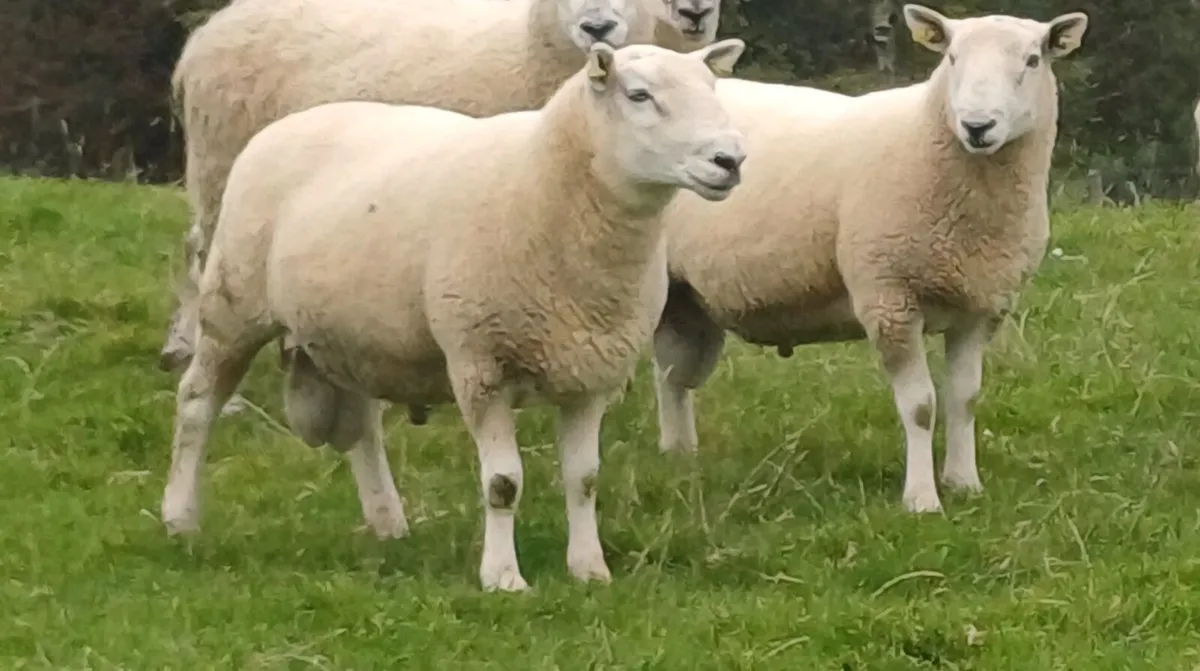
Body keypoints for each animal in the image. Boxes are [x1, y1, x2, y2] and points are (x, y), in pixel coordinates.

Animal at [159, 39, 749, 592]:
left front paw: (589, 569)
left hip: (352, 334)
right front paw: (504, 578)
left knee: (362, 428)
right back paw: (180, 518)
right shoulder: (479, 363)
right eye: (639, 95)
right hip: (234, 305)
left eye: (712, 89)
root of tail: (289, 123)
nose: (730, 160)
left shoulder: (590, 375)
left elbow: (584, 479)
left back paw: (388, 522)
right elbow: (503, 483)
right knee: (197, 404)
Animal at [650, 5, 1089, 514]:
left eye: (1033, 60)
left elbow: (965, 398)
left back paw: (680, 455)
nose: (977, 126)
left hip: (687, 299)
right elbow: (921, 406)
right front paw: (922, 500)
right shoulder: (889, 298)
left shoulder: (981, 306)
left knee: (673, 375)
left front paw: (964, 482)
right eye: (952, 57)